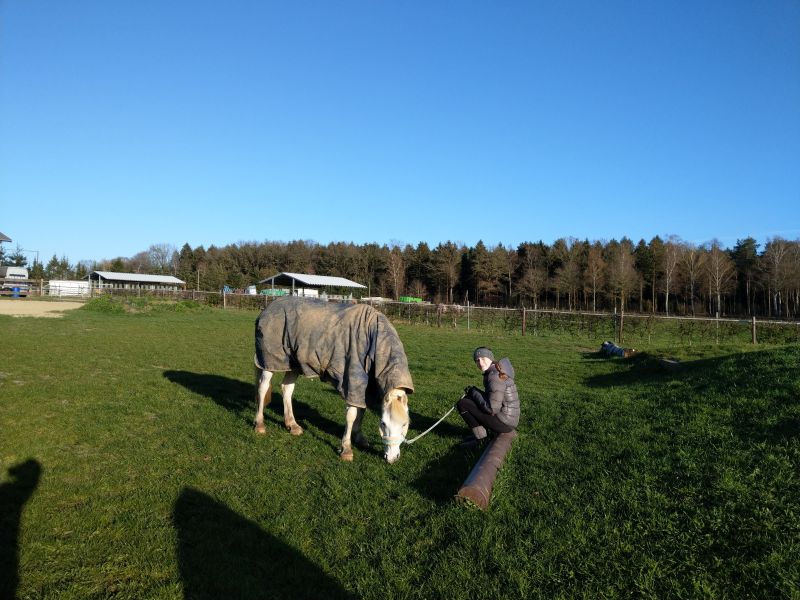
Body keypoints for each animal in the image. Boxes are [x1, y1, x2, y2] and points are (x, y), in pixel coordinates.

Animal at [253, 297, 414, 463]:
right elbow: (352, 415)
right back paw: (260, 424)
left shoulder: (364, 388)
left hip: (294, 364)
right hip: (270, 361)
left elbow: (361, 411)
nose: (392, 458)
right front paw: (346, 449)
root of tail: (267, 309)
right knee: (262, 388)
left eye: (405, 424)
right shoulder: (352, 381)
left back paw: (292, 425)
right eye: (383, 423)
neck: (373, 338)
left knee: (287, 389)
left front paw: (359, 438)